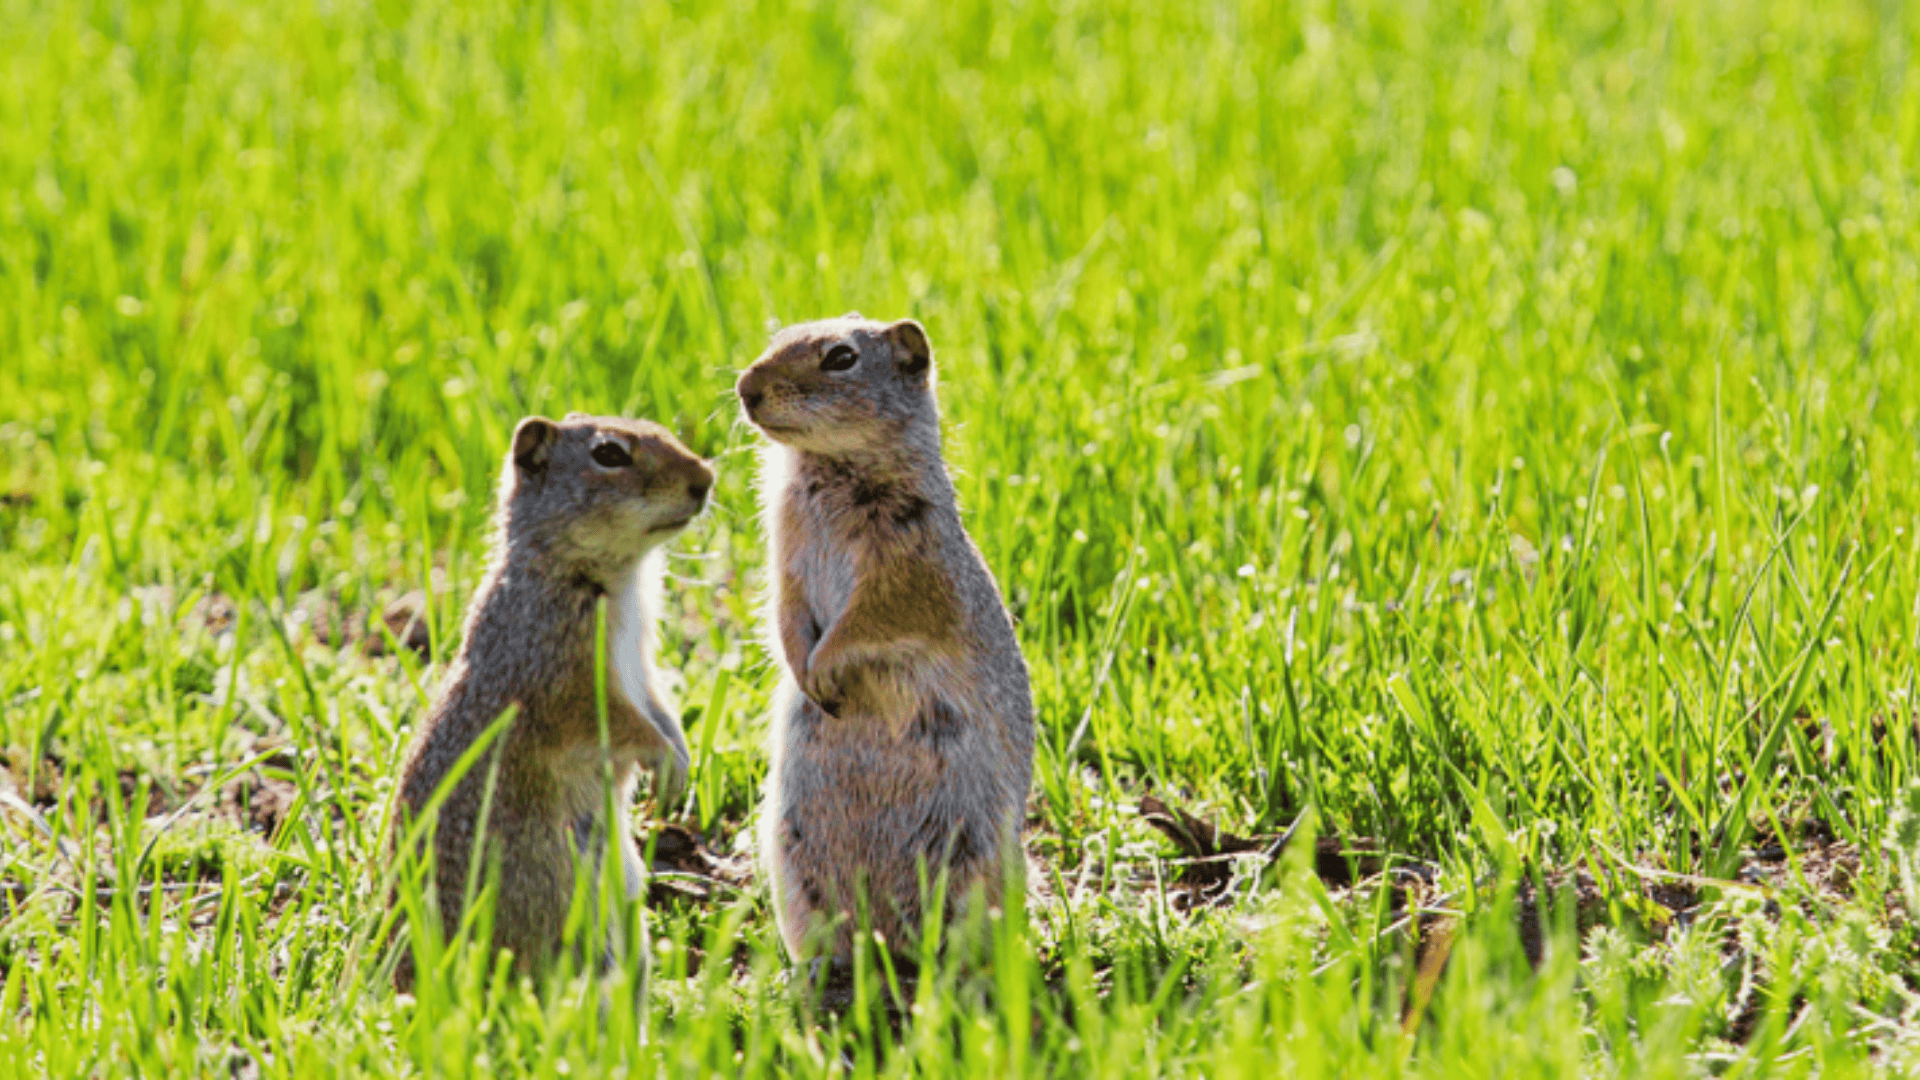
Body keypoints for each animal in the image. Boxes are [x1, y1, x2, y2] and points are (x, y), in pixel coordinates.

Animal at [387, 409, 714, 983]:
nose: (706, 479)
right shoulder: (563, 678)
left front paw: (681, 756)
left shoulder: (643, 667)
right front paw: (666, 760)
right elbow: (617, 720)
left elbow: (659, 706)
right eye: (609, 454)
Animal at [733, 315, 1036, 960]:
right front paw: (805, 671)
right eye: (779, 337)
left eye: (841, 358)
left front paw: (824, 668)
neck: (827, 469)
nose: (746, 388)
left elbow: (871, 619)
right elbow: (785, 612)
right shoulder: (785, 557)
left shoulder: (908, 568)